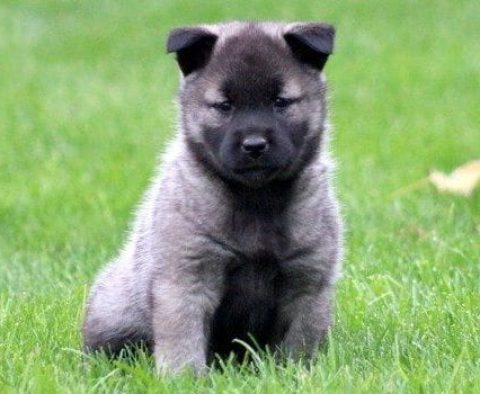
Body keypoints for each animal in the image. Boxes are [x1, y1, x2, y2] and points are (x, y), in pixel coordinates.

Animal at [84, 20, 344, 372]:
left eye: (280, 102)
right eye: (224, 105)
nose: (254, 145)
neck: (257, 199)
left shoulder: (307, 283)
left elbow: (299, 343)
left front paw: (297, 374)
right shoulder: (186, 280)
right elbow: (183, 342)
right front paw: (183, 378)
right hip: (116, 313)